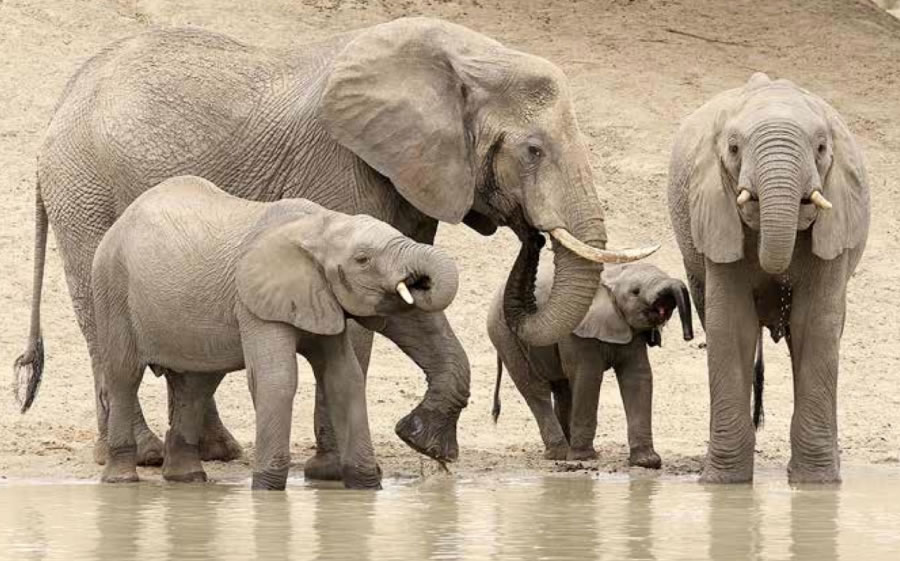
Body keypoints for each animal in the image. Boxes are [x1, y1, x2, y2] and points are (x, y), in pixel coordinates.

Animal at [91, 175, 460, 489]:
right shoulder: (254, 301)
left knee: (196, 383)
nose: (419, 282)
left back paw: (188, 479)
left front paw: (366, 488)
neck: (320, 226)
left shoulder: (322, 297)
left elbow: (345, 378)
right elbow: (277, 379)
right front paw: (267, 490)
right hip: (111, 285)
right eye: (363, 259)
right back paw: (122, 481)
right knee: (125, 375)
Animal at [488, 261, 693, 466]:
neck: (611, 277)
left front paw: (647, 462)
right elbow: (588, 377)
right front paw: (584, 457)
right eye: (636, 291)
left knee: (563, 390)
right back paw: (560, 454)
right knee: (535, 389)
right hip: (505, 335)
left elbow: (636, 376)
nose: (688, 336)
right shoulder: (577, 330)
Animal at [667, 72, 869, 483]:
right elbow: (732, 325)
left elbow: (815, 326)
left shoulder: (836, 225)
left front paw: (816, 485)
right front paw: (723, 485)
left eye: (821, 148)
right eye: (733, 148)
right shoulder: (716, 217)